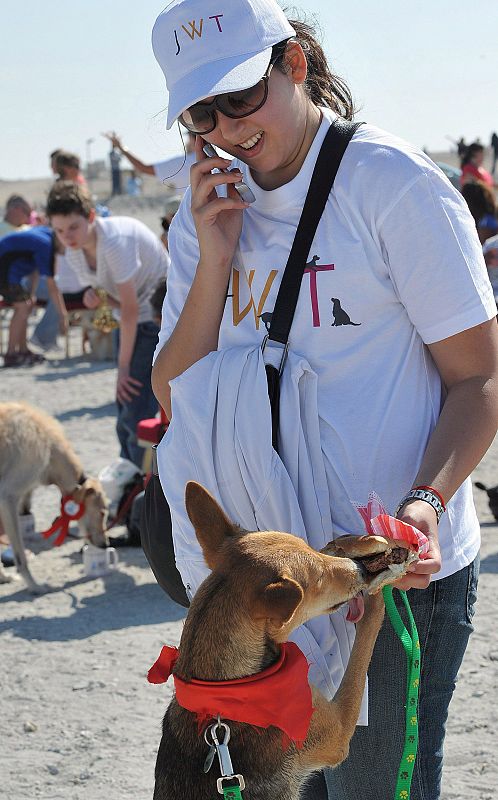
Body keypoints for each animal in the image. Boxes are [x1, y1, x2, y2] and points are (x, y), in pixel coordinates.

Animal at [0, 404, 109, 592]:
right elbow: (21, 557)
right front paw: (34, 586)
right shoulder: (8, 498)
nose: (105, 545)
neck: (49, 447)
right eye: (102, 513)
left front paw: (3, 577)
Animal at [151, 482, 392, 800]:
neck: (227, 692)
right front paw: (379, 594)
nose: (361, 570)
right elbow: (361, 650)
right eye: (319, 579)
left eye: (312, 549)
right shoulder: (337, 731)